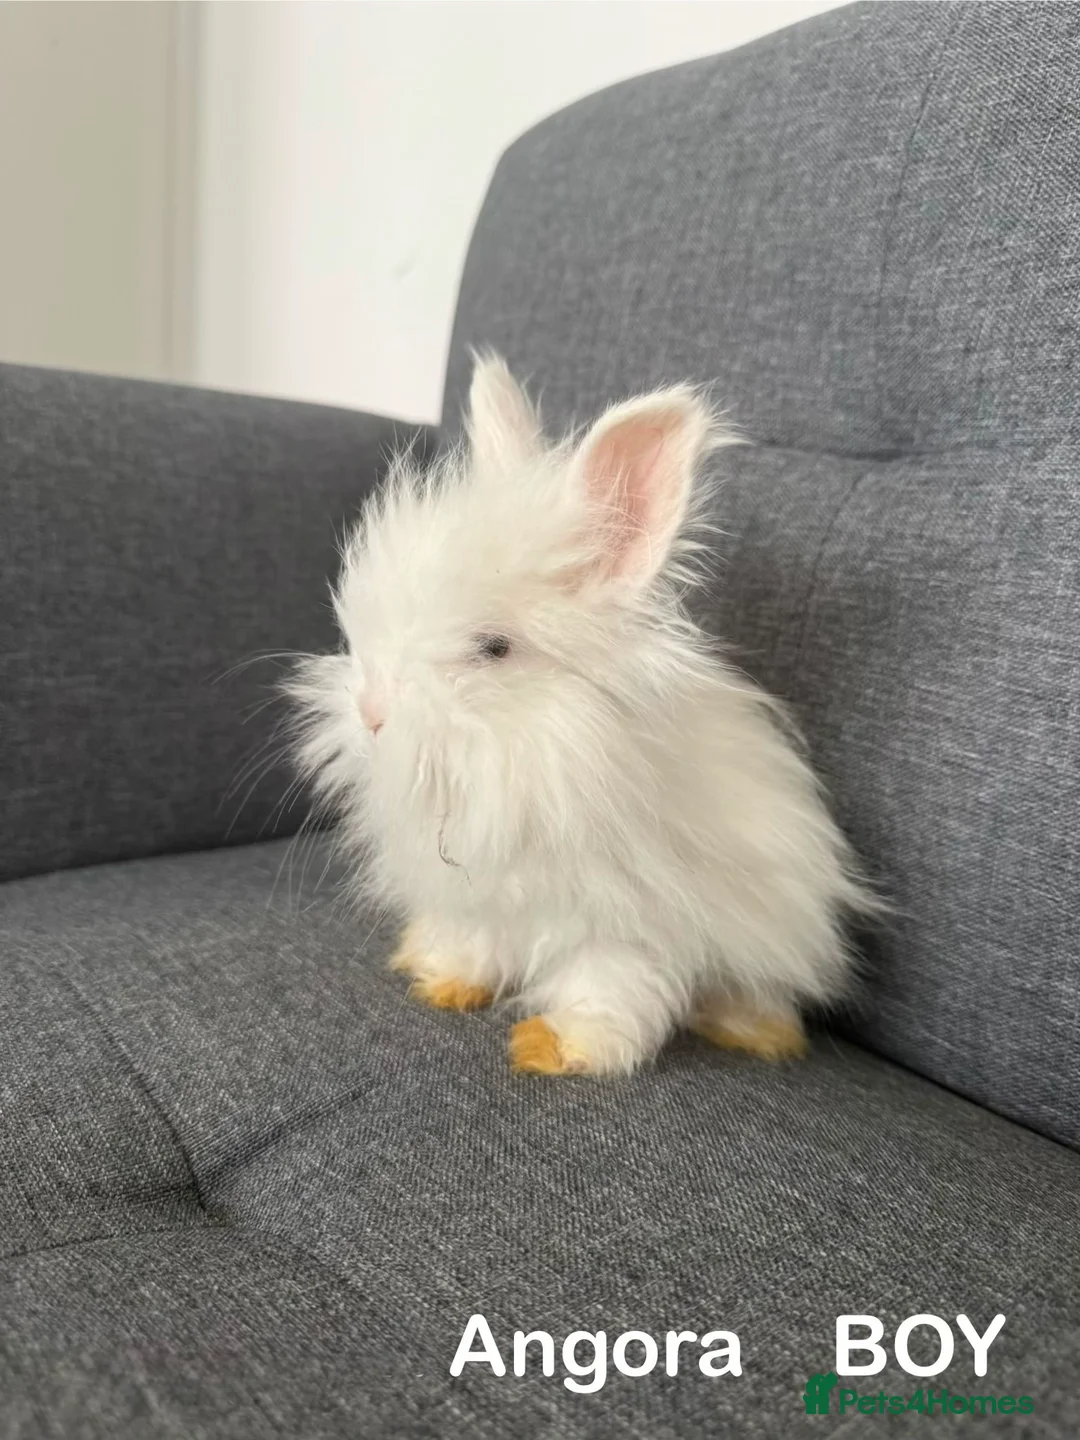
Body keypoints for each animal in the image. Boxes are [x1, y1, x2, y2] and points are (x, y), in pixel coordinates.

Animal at [289, 354, 877, 1077]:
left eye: (494, 648)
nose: (371, 713)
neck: (528, 767)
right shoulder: (479, 899)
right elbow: (471, 943)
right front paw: (442, 983)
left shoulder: (624, 928)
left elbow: (609, 989)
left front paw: (555, 1048)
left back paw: (756, 1032)